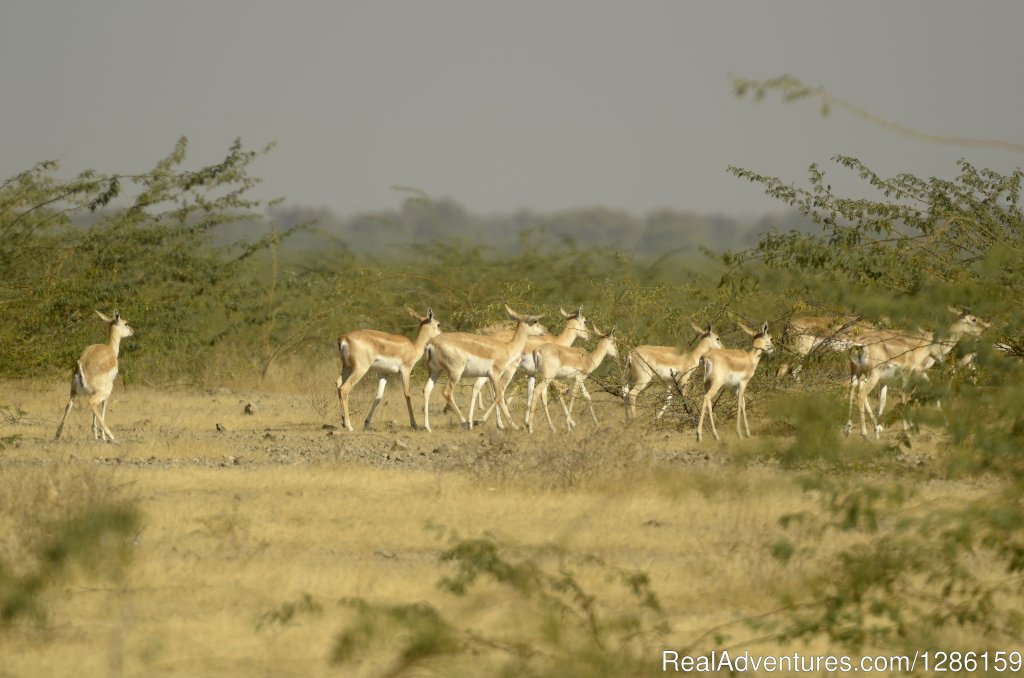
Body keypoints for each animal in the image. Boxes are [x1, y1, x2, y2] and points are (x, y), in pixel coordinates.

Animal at [55, 311, 135, 444]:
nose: (132, 331)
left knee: (68, 406)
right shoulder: (107, 391)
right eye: (126, 323)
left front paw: (96, 435)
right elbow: (103, 406)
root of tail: (81, 364)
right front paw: (101, 436)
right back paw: (111, 435)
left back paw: (57, 435)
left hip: (73, 392)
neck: (111, 350)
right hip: (104, 390)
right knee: (93, 403)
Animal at [843, 305, 987, 438]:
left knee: (852, 390)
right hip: (872, 374)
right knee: (861, 394)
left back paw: (851, 429)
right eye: (974, 319)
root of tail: (855, 344)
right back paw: (864, 433)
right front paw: (908, 429)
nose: (985, 329)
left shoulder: (907, 376)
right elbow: (906, 396)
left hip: (856, 372)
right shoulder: (914, 371)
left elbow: (886, 400)